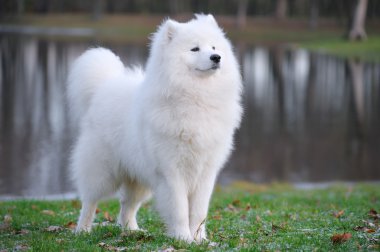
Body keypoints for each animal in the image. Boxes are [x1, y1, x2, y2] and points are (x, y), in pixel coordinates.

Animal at [67, 13, 242, 242]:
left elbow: (199, 211)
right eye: (195, 49)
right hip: (102, 172)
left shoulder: (205, 172)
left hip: (139, 178)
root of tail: (104, 86)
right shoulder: (172, 171)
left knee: (127, 206)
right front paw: (183, 238)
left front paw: (200, 240)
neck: (196, 97)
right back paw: (83, 230)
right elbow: (179, 209)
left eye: (213, 46)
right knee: (90, 201)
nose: (216, 57)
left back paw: (132, 231)